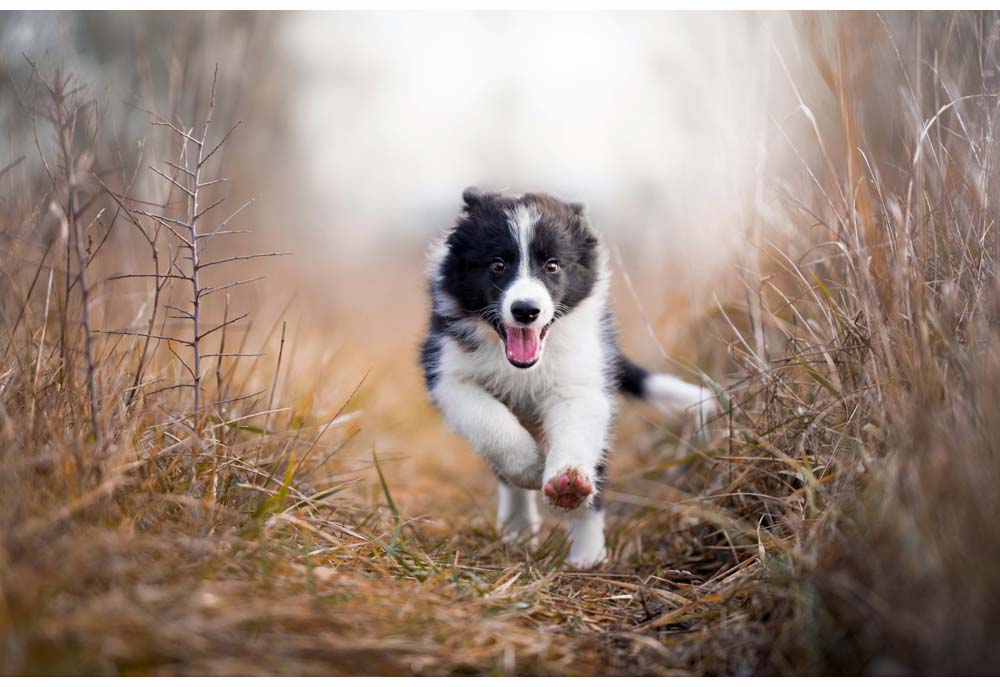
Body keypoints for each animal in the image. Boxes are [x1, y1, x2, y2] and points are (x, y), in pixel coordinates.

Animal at [418, 188, 716, 568]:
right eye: (497, 265)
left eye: (552, 265)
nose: (525, 310)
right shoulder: (447, 373)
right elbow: (492, 424)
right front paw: (531, 467)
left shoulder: (581, 381)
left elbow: (575, 430)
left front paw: (566, 481)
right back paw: (518, 528)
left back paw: (587, 556)